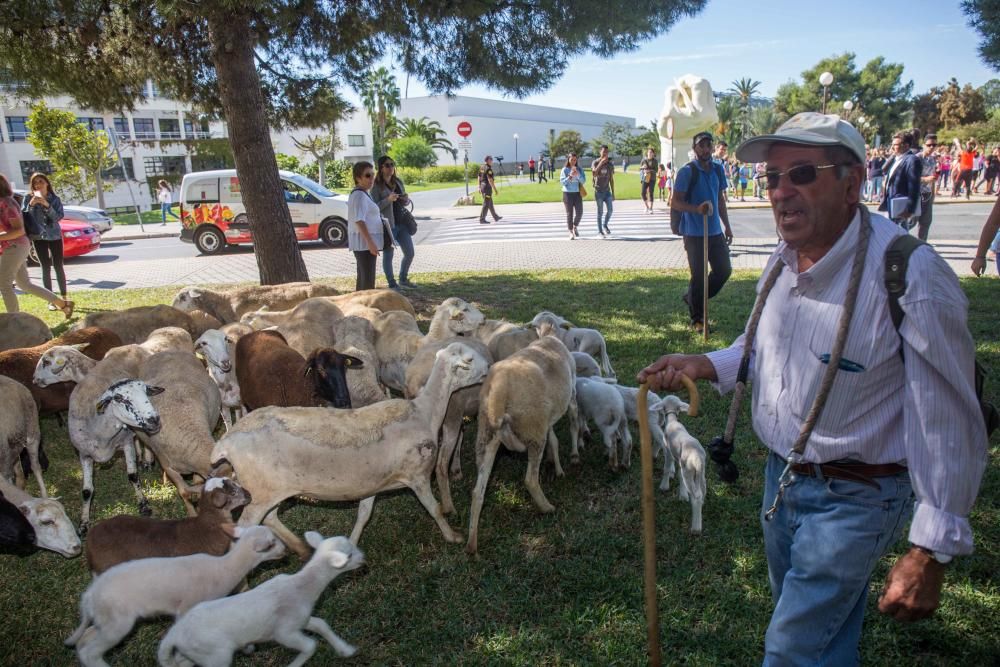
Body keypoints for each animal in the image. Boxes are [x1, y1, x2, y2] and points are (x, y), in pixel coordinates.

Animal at [65, 528, 286, 667]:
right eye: (272, 543)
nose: (287, 550)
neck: (224, 568)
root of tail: (89, 595)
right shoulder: (187, 607)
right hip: (117, 622)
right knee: (91, 651)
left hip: (105, 620)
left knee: (84, 640)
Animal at [154, 532, 362, 667]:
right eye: (348, 555)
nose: (363, 558)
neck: (302, 587)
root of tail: (175, 633)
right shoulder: (284, 631)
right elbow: (311, 646)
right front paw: (294, 665)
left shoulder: (300, 620)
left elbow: (321, 624)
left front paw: (345, 650)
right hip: (216, 656)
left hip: (195, 652)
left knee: (181, 662)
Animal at [652, 394, 708, 536]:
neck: (673, 421)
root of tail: (697, 458)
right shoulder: (680, 460)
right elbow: (679, 475)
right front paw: (682, 495)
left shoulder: (668, 450)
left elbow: (667, 468)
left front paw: (664, 486)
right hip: (700, 471)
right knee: (703, 488)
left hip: (689, 470)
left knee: (697, 496)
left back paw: (696, 528)